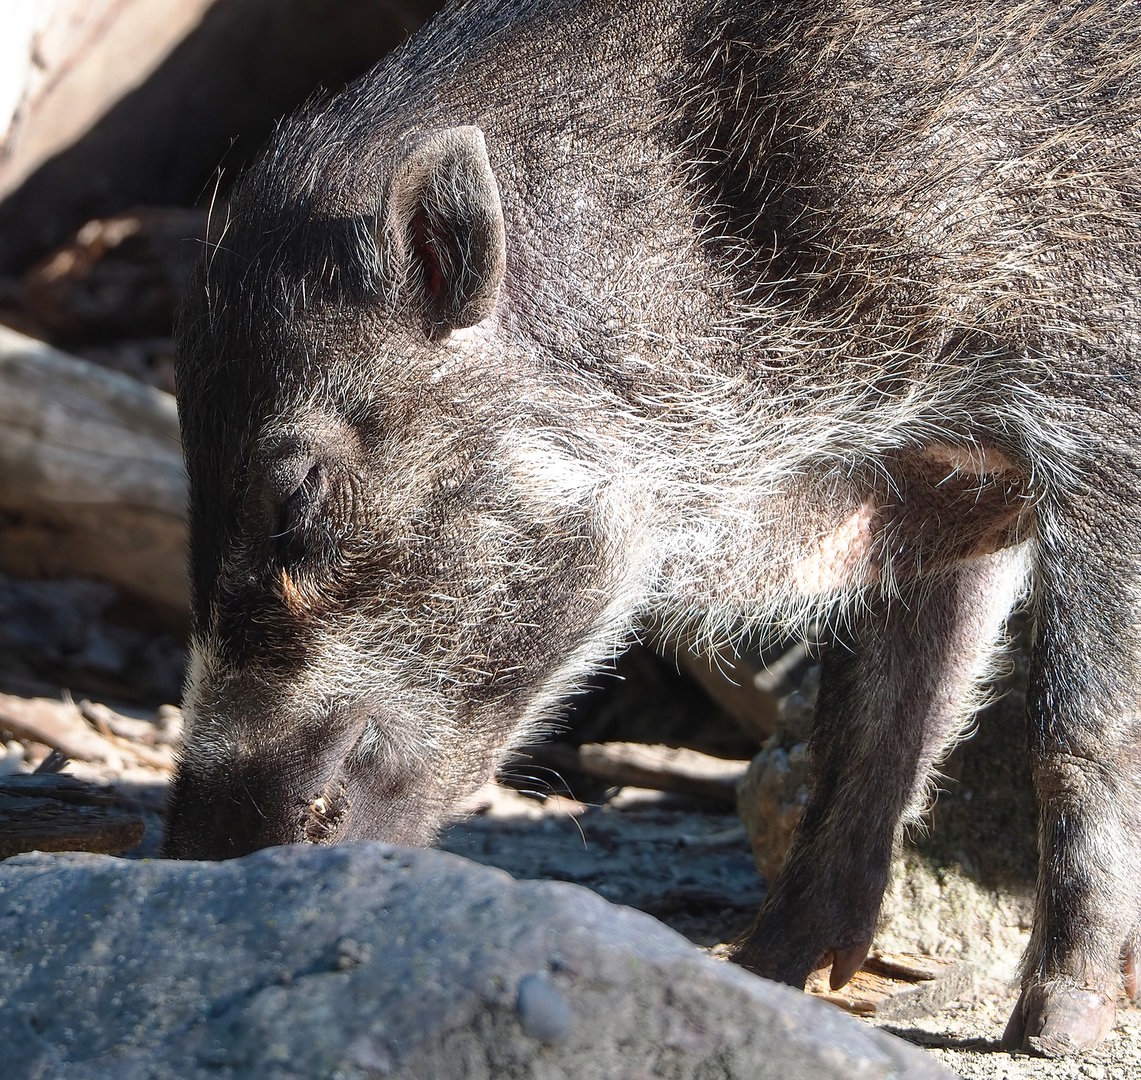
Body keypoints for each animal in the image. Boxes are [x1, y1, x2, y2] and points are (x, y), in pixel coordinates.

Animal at [165, 0, 1141, 1059]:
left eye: (294, 495)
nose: (193, 862)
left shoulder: (1096, 389)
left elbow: (1081, 723)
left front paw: (1053, 1026)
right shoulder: (945, 479)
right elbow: (881, 720)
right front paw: (766, 972)